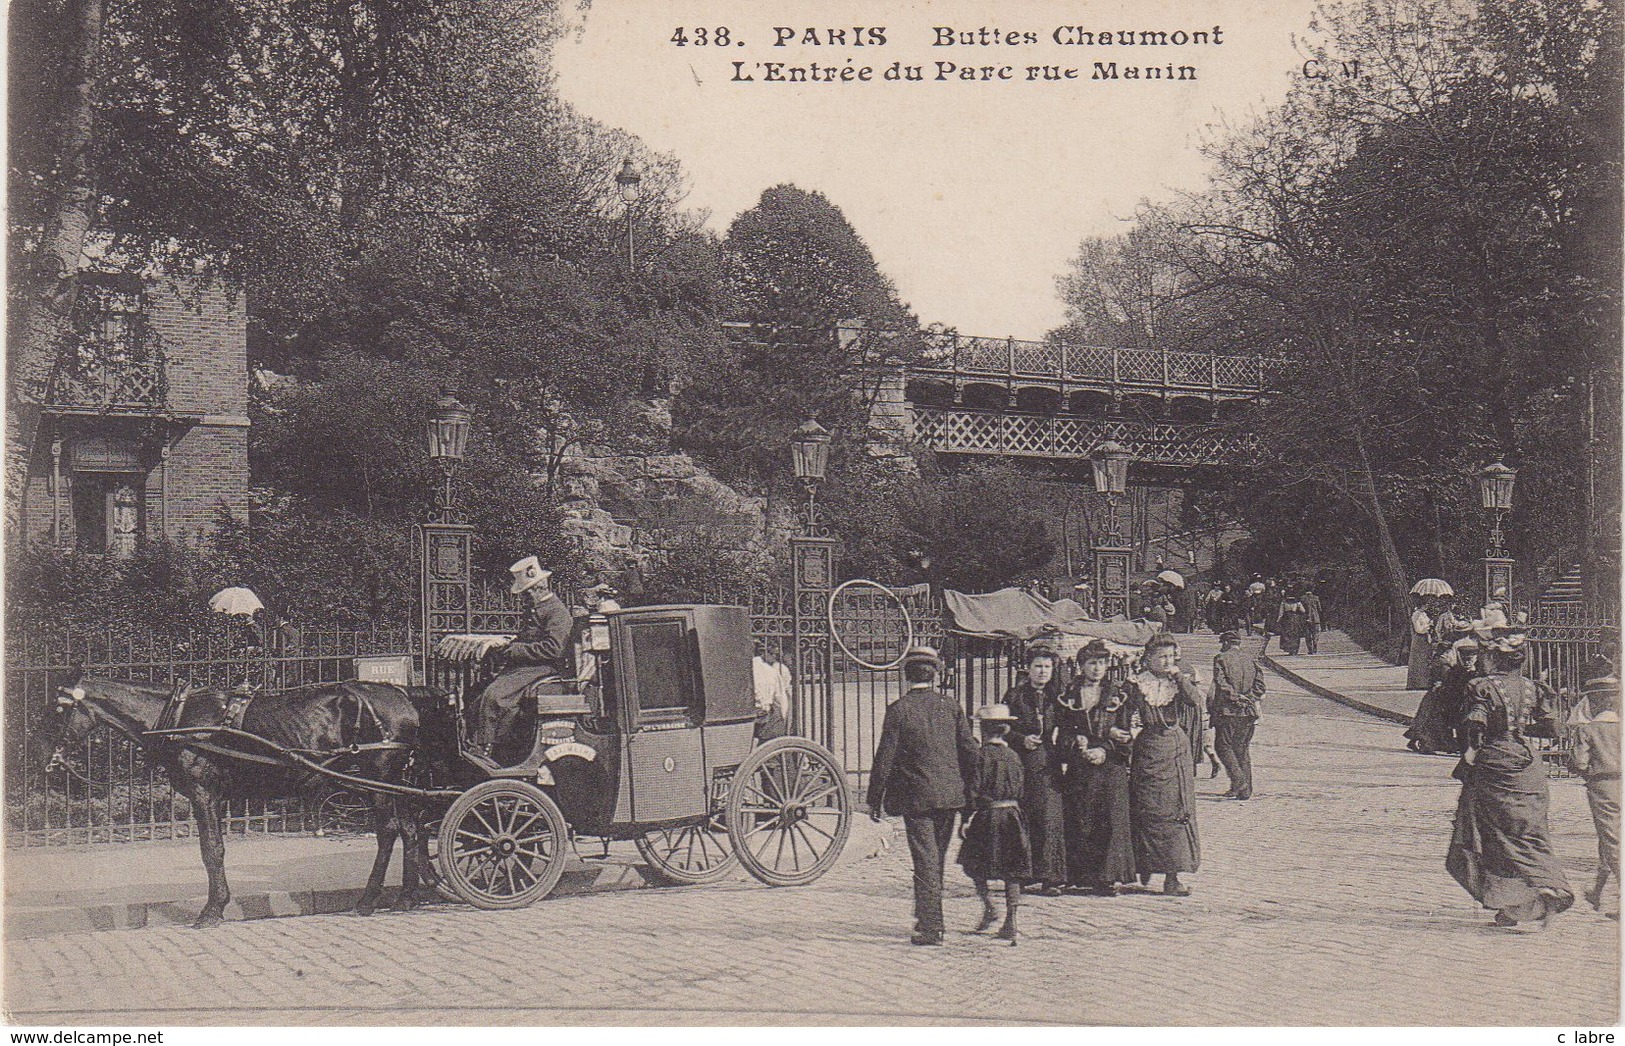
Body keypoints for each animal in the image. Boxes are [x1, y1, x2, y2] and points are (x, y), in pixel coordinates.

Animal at [42, 675, 442, 929]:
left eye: (60, 710)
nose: (52, 757)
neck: (178, 719)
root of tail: (404, 696)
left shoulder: (204, 793)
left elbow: (211, 851)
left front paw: (212, 909)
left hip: (378, 779)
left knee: (388, 831)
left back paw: (369, 899)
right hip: (389, 782)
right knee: (410, 829)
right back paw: (406, 896)